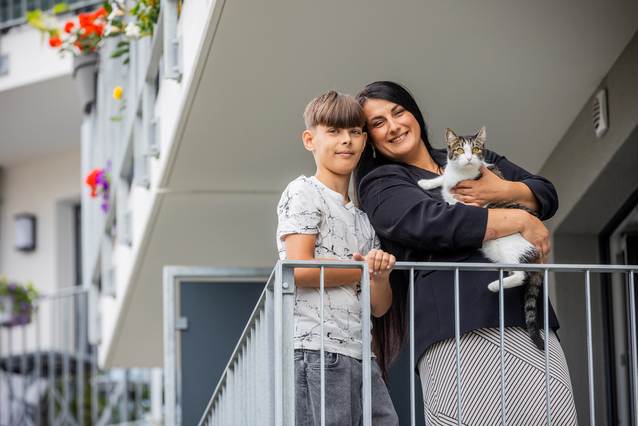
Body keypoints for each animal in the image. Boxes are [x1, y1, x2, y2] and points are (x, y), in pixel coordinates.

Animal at [420, 125, 544, 350]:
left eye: (476, 149)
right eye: (460, 149)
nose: (469, 158)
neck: (462, 174)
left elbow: (456, 206)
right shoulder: (451, 173)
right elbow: (444, 177)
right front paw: (427, 182)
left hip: (510, 245)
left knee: (522, 275)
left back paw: (495, 285)